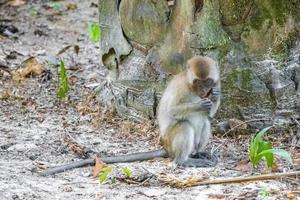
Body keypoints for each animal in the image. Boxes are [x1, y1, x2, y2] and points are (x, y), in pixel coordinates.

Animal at [41, 55, 220, 176]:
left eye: (208, 82)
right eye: (198, 82)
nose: (204, 91)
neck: (191, 89)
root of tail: (165, 146)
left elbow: (210, 113)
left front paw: (214, 97)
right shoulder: (181, 88)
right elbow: (171, 110)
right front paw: (199, 105)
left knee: (206, 122)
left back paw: (198, 153)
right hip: (170, 140)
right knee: (184, 126)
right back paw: (185, 160)